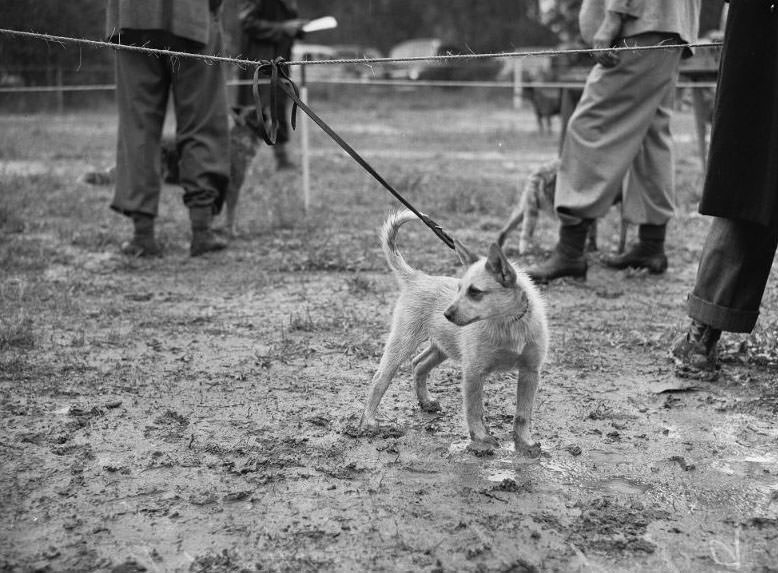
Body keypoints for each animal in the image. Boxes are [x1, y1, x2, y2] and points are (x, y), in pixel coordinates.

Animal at [360, 210, 548, 456]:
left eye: (475, 292)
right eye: (459, 289)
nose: (446, 314)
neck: (507, 325)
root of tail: (418, 277)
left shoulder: (529, 372)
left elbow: (523, 414)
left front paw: (524, 443)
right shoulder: (473, 372)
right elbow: (474, 410)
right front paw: (481, 439)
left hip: (442, 346)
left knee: (419, 364)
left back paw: (426, 402)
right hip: (403, 342)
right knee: (379, 378)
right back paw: (369, 421)